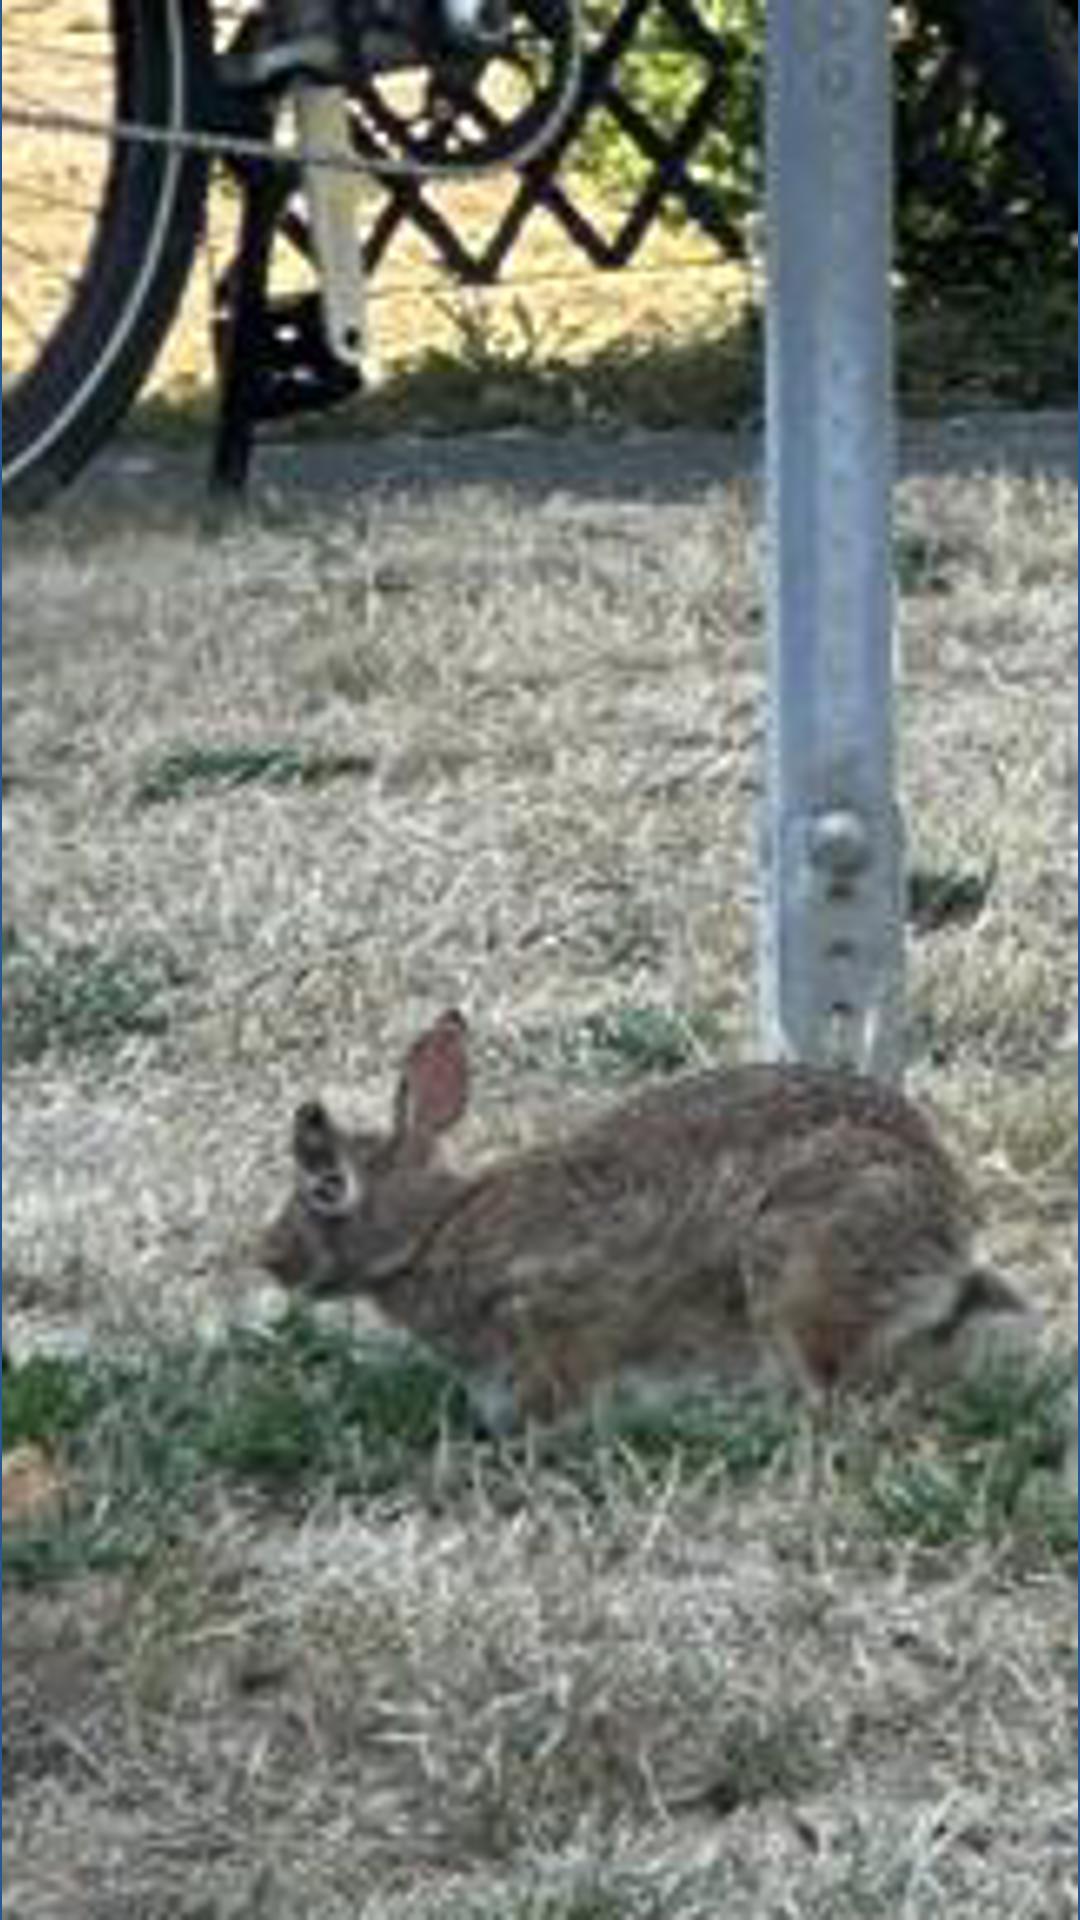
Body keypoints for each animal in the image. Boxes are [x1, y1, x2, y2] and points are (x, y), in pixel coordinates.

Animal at [259, 1009, 1029, 1429]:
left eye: (327, 1185)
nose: (270, 1257)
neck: (435, 1230)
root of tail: (951, 1232)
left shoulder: (562, 1310)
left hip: (798, 1269)